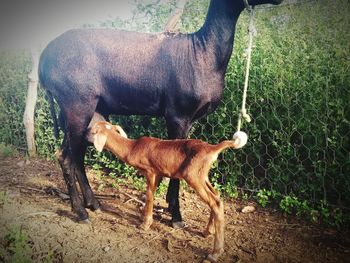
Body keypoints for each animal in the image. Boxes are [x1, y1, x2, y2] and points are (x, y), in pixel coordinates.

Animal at [38, 0, 284, 227]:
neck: (202, 52)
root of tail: (43, 60)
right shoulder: (177, 114)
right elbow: (176, 158)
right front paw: (176, 217)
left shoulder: (190, 119)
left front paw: (169, 207)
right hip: (76, 105)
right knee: (68, 158)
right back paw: (81, 212)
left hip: (88, 112)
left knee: (74, 156)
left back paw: (94, 204)